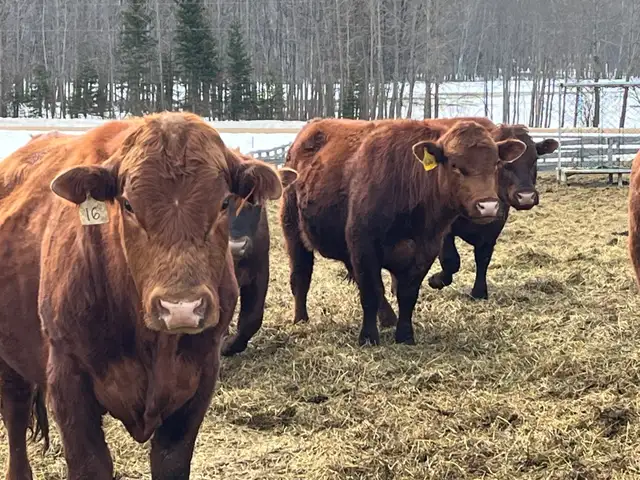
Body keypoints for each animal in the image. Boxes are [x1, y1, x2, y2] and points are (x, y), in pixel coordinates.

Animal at [0, 112, 287, 480]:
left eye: (224, 202)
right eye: (128, 204)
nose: (181, 308)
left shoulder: (199, 378)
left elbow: (171, 461)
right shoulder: (67, 379)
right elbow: (90, 464)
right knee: (16, 415)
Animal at [281, 118, 526, 345]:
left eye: (496, 164)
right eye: (455, 165)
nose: (488, 206)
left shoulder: (426, 249)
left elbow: (407, 294)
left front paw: (405, 335)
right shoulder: (364, 245)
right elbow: (370, 292)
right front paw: (368, 337)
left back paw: (388, 318)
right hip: (293, 231)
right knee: (301, 276)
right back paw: (301, 319)